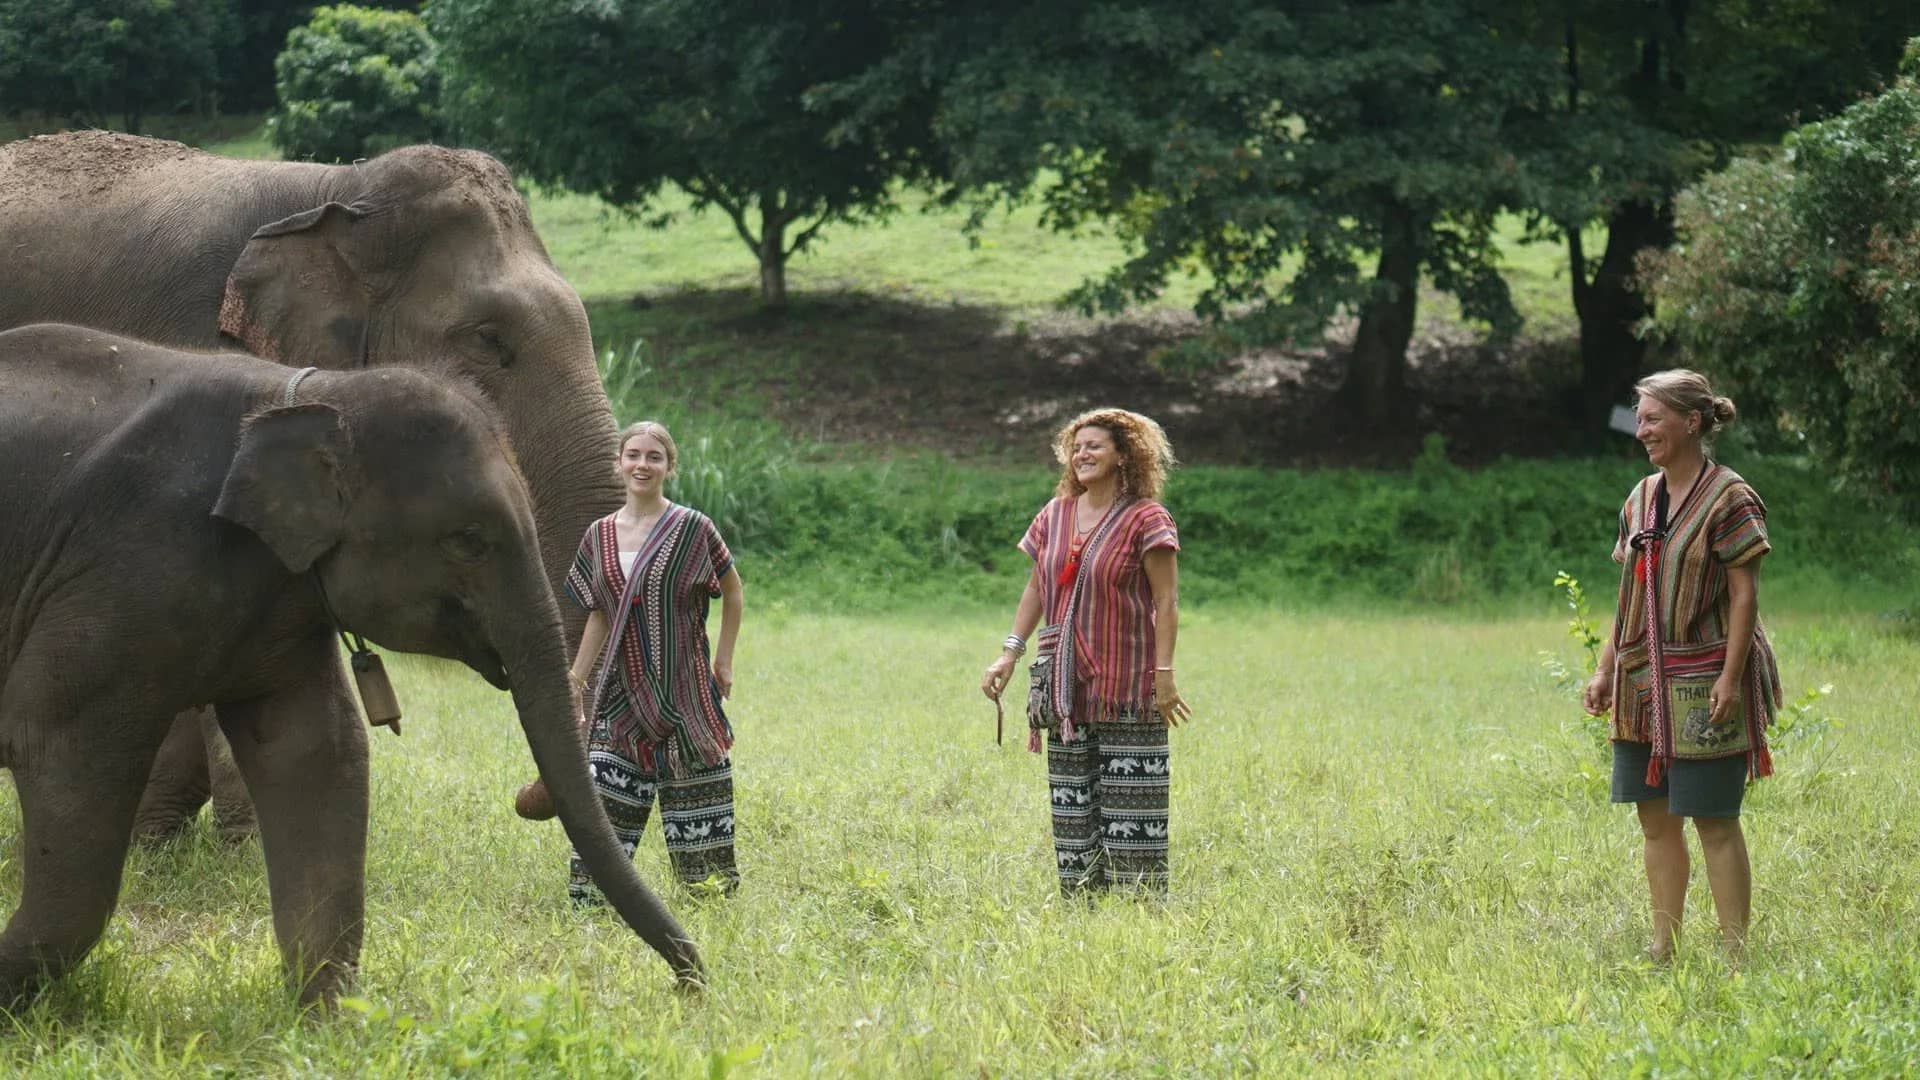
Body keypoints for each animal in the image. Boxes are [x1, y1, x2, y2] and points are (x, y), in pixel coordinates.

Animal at [0, 324, 698, 1009]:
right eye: (469, 541)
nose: (693, 977)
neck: (311, 395)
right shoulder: (128, 565)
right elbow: (59, 743)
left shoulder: (283, 602)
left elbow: (316, 748)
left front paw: (324, 1015)